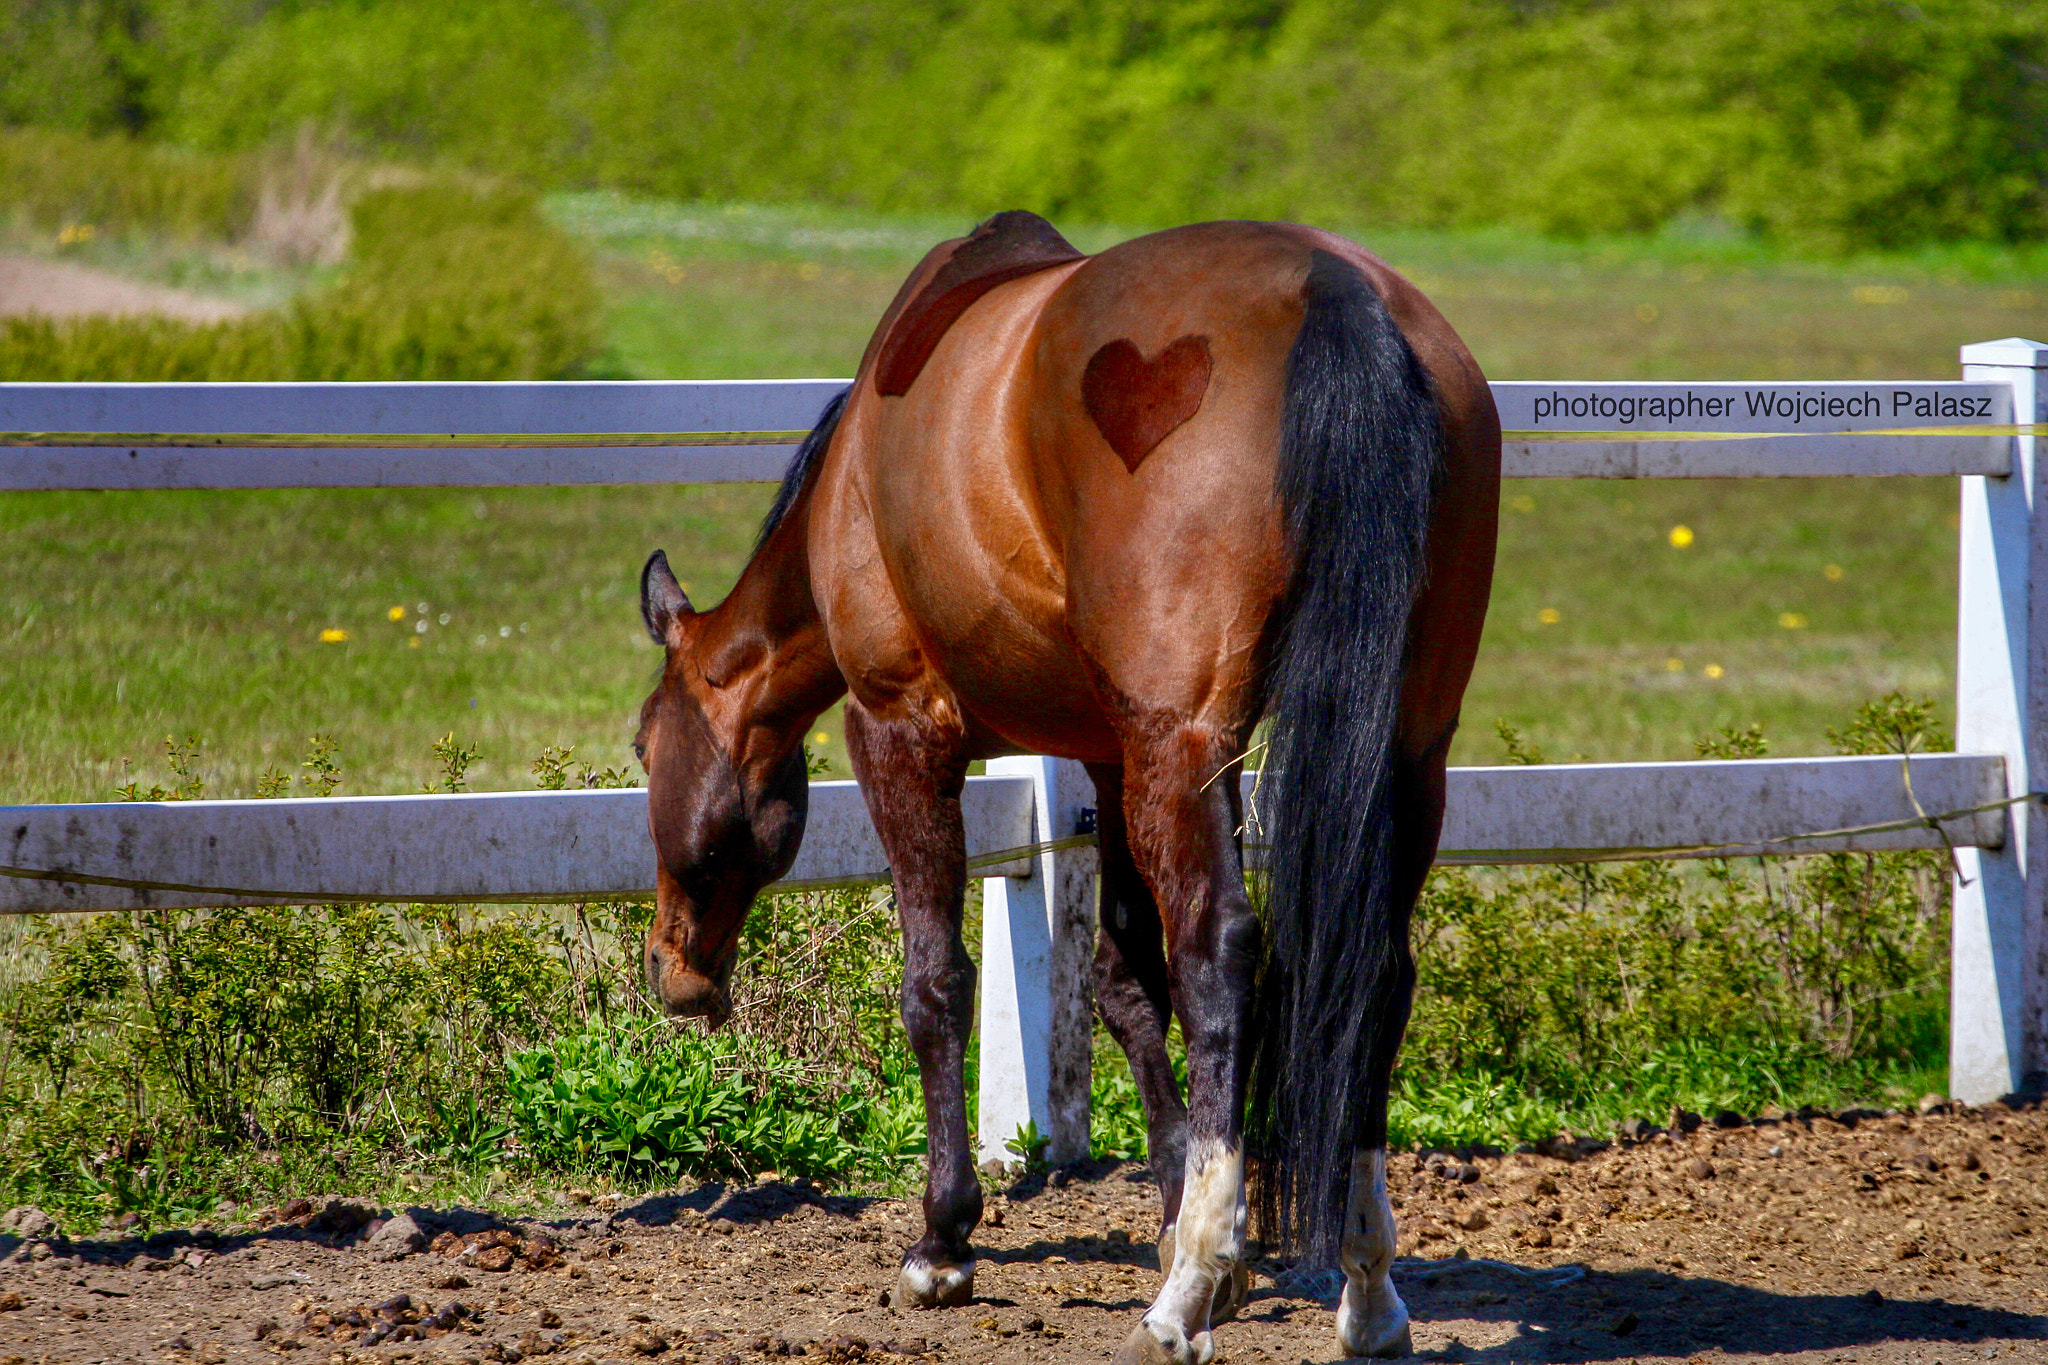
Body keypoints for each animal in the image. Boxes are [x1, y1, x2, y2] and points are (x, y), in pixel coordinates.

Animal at [631, 211, 1498, 1363]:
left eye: (646, 746)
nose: (672, 966)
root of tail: (1334, 292)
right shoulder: (1111, 752)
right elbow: (1126, 982)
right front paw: (1186, 1223)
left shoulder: (900, 729)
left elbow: (937, 986)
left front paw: (944, 1242)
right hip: (1397, 747)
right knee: (1376, 973)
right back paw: (1364, 1290)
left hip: (1185, 742)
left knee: (1221, 954)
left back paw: (1178, 1306)